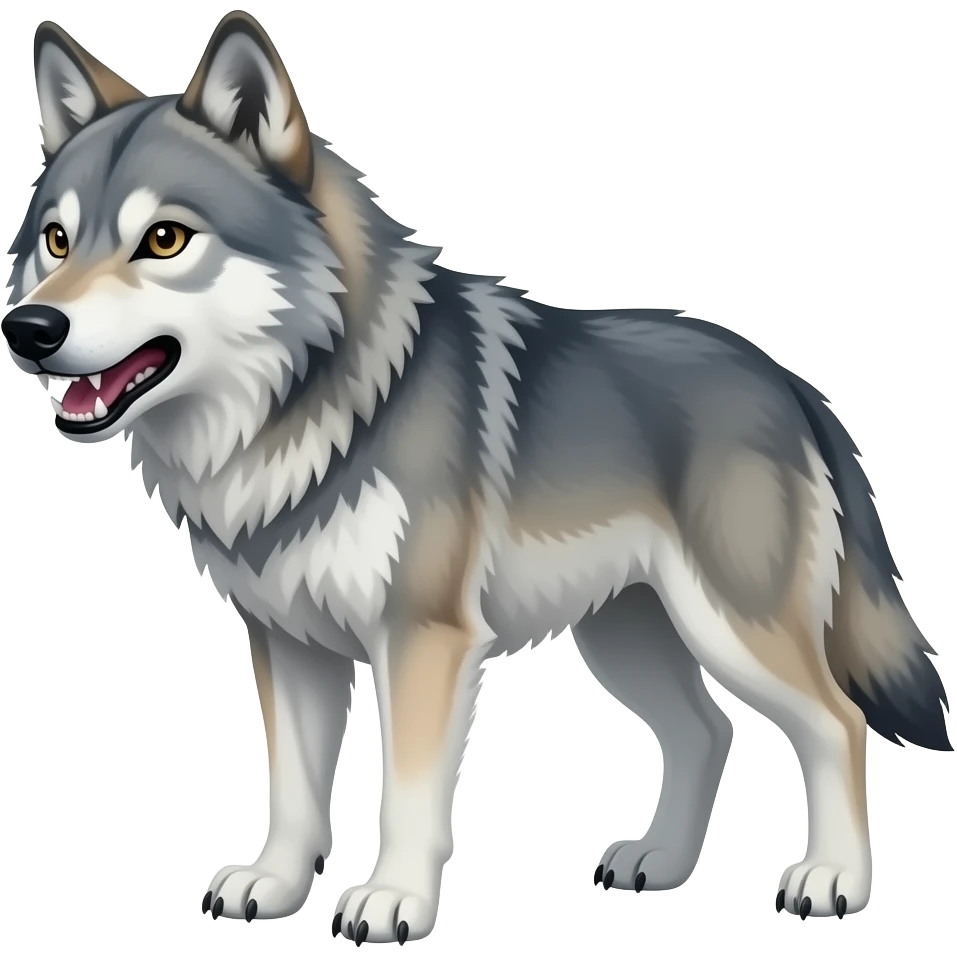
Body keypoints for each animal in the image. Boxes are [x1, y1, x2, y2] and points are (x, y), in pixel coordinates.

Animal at [2, 11, 951, 941]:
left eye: (163, 239)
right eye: (55, 239)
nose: (29, 328)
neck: (308, 411)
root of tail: (789, 381)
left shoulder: (423, 638)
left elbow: (407, 793)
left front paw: (392, 900)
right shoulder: (288, 642)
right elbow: (294, 789)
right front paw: (273, 885)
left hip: (731, 627)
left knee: (837, 722)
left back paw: (831, 880)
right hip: (628, 637)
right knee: (706, 729)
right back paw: (659, 864)